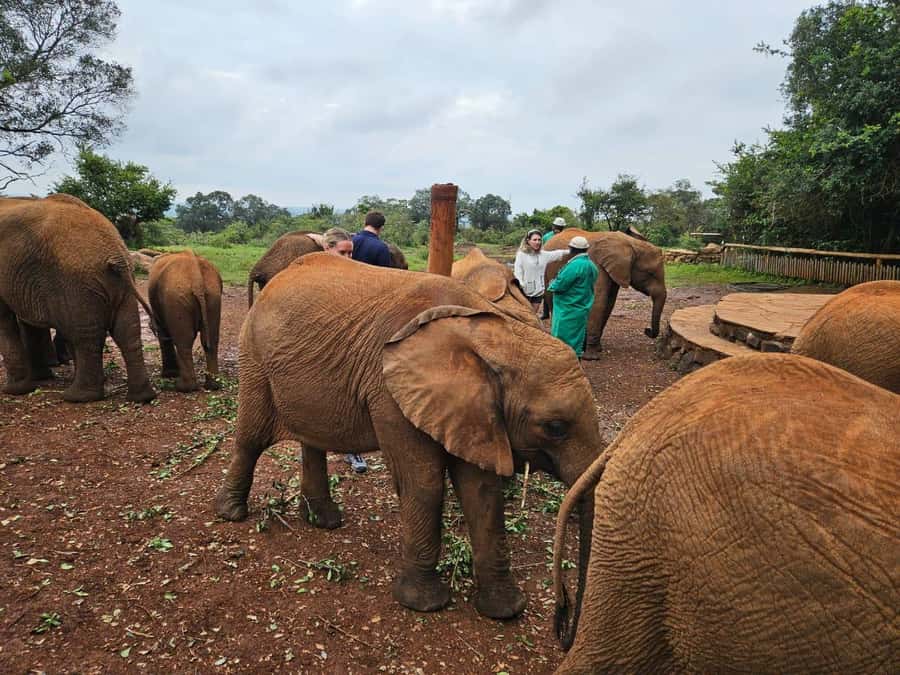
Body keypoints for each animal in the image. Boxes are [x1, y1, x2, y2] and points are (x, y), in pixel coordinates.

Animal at [0, 194, 156, 403]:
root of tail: (116, 254)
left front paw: (15, 390)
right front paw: (39, 380)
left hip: (76, 282)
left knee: (84, 336)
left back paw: (77, 396)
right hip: (118, 282)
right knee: (127, 333)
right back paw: (141, 397)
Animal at [148, 250, 223, 392]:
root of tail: (197, 277)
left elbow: (163, 333)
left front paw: (169, 375)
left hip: (176, 297)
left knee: (184, 341)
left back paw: (183, 387)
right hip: (213, 296)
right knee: (210, 340)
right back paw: (213, 385)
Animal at [215, 253, 602, 620]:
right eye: (555, 427)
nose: (564, 613)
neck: (495, 336)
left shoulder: (475, 412)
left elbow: (482, 491)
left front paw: (505, 610)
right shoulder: (390, 392)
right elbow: (423, 483)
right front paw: (423, 603)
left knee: (313, 442)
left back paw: (323, 521)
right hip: (254, 355)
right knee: (250, 438)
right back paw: (231, 513)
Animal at [544, 228, 667, 357]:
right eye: (650, 274)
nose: (647, 330)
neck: (631, 243)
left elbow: (609, 303)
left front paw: (598, 349)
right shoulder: (597, 263)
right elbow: (598, 302)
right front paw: (592, 357)